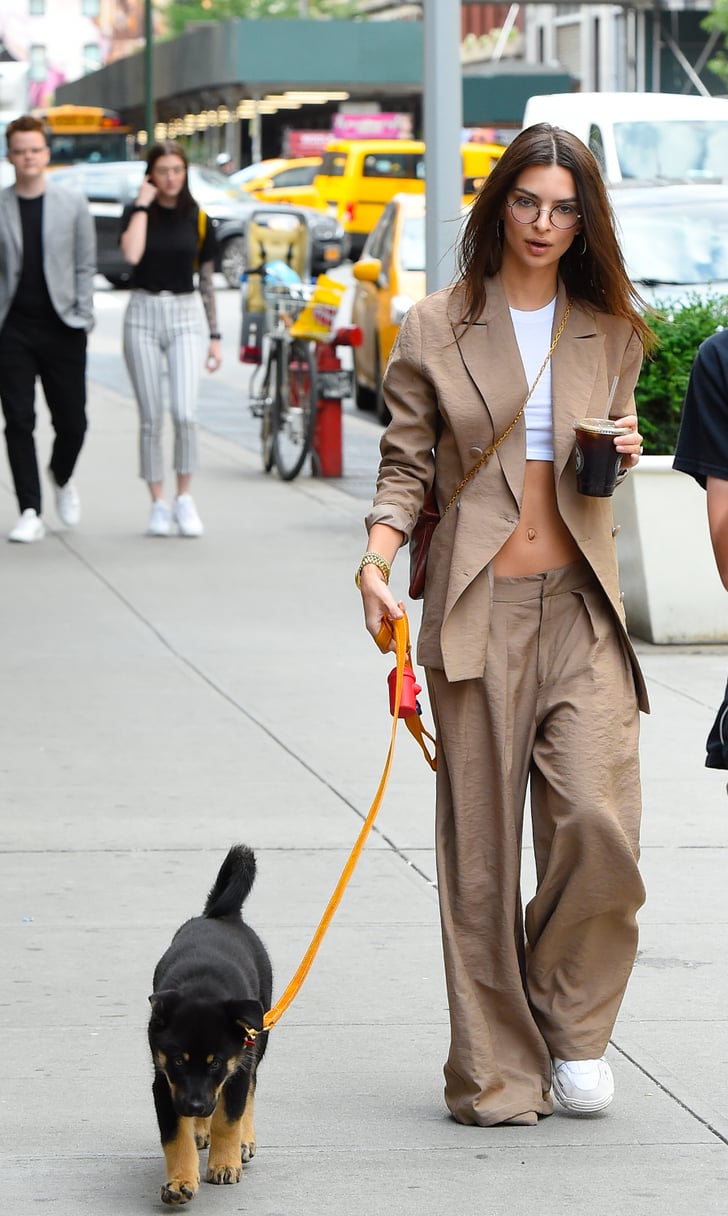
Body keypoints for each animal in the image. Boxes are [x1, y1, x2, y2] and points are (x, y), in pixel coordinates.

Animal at [148, 846, 273, 1206]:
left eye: (215, 1062)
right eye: (178, 1060)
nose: (194, 1106)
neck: (203, 989)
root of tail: (223, 915)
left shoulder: (236, 1066)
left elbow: (229, 1118)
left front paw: (225, 1164)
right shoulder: (165, 1084)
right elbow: (176, 1138)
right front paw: (180, 1182)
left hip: (258, 1043)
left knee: (250, 1090)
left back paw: (242, 1140)